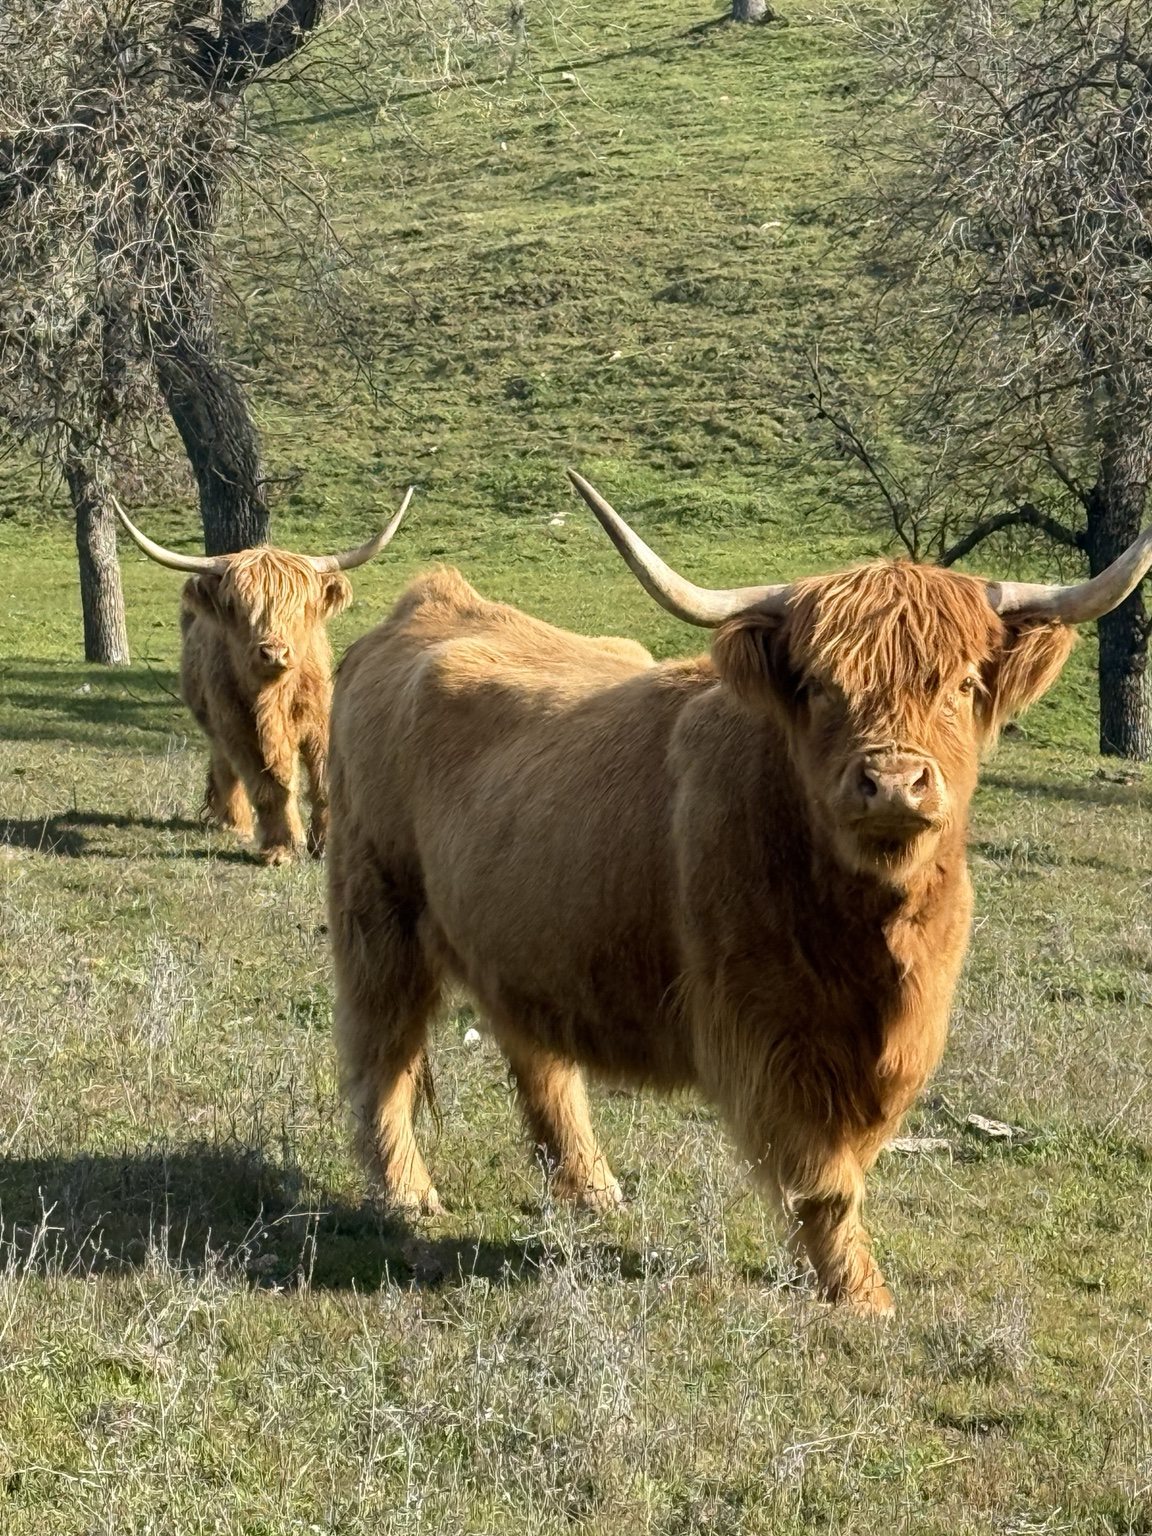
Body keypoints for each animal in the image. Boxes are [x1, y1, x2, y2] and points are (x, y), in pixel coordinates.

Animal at [115, 492, 411, 865]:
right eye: (238, 607)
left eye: (300, 607)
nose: (273, 653)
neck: (275, 697)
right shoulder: (238, 728)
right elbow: (268, 787)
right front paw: (280, 848)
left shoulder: (320, 718)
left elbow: (322, 780)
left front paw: (325, 844)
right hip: (216, 721)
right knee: (226, 766)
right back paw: (234, 822)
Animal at [326, 470, 1152, 1312]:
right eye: (820, 687)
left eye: (962, 683)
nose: (892, 782)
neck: (871, 932)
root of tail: (429, 603)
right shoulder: (770, 1027)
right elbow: (822, 1170)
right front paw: (861, 1294)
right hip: (375, 913)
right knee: (381, 1051)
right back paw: (407, 1193)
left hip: (522, 933)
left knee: (536, 1055)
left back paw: (593, 1188)